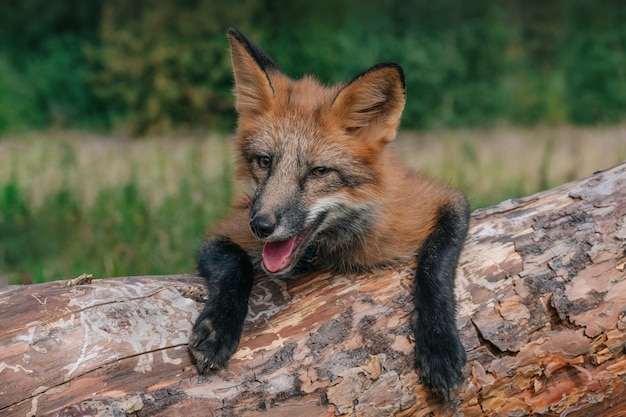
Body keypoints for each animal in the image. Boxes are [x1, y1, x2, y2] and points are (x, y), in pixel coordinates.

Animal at [189, 27, 468, 398]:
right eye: (264, 162)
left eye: (319, 172)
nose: (260, 226)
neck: (332, 248)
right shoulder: (227, 229)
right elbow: (235, 265)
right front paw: (219, 327)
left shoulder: (442, 202)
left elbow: (435, 267)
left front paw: (440, 346)